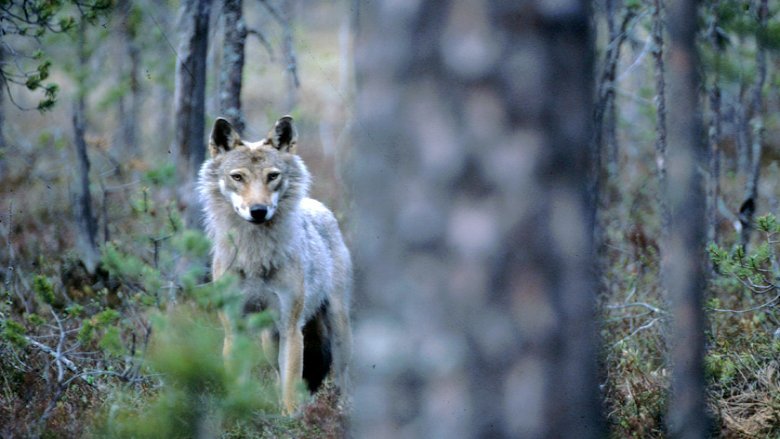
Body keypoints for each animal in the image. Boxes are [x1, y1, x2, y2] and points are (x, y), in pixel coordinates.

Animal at [198, 115, 354, 414]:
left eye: (272, 176)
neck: (255, 256)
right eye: (238, 177)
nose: (258, 211)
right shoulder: (235, 328)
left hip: (337, 328)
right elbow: (240, 381)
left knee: (342, 376)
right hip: (269, 342)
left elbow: (291, 387)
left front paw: (291, 418)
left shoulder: (290, 327)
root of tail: (317, 204)